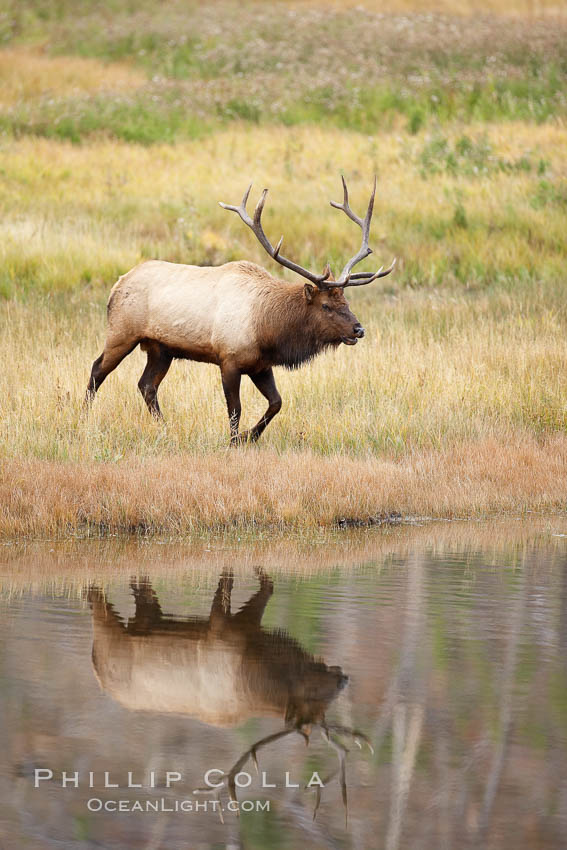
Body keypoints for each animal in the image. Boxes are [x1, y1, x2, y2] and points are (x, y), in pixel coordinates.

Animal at [85, 178, 394, 444]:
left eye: (347, 303)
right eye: (326, 305)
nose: (358, 329)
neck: (269, 329)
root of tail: (117, 284)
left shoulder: (261, 365)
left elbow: (276, 403)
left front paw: (249, 437)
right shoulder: (229, 359)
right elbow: (235, 410)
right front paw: (234, 440)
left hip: (161, 349)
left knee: (147, 385)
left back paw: (165, 426)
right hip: (122, 332)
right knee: (98, 369)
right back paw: (84, 416)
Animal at [87, 568, 372, 820]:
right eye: (315, 699)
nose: (343, 679)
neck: (263, 668)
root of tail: (96, 670)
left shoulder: (248, 625)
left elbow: (266, 585)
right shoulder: (221, 628)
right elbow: (233, 587)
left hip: (146, 619)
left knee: (143, 597)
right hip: (112, 637)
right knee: (100, 608)